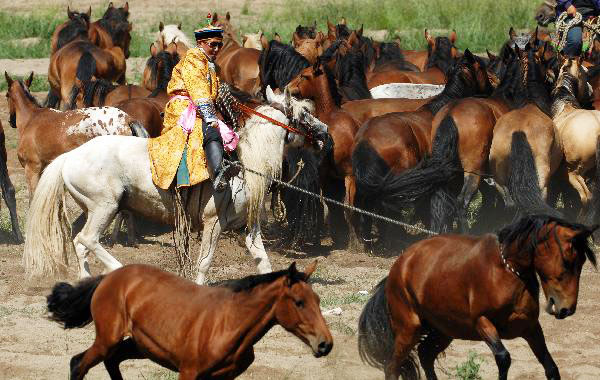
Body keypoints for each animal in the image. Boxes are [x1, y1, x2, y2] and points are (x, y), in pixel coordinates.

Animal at [23, 89, 328, 284]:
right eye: (304, 114)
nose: (325, 132)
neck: (243, 164)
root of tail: (69, 157)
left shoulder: (249, 229)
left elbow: (263, 260)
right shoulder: (213, 223)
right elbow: (204, 263)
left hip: (93, 209)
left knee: (79, 242)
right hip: (104, 207)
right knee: (87, 240)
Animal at [48, 262, 332, 378]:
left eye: (319, 300)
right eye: (299, 302)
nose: (325, 344)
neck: (229, 323)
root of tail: (109, 277)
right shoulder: (189, 373)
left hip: (138, 345)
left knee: (109, 361)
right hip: (108, 338)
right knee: (78, 364)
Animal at [358, 215, 596, 380]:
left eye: (582, 262)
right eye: (567, 261)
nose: (566, 309)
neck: (507, 271)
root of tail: (399, 266)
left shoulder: (531, 328)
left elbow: (551, 368)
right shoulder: (482, 323)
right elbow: (503, 359)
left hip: (445, 330)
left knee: (425, 355)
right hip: (409, 330)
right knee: (392, 367)